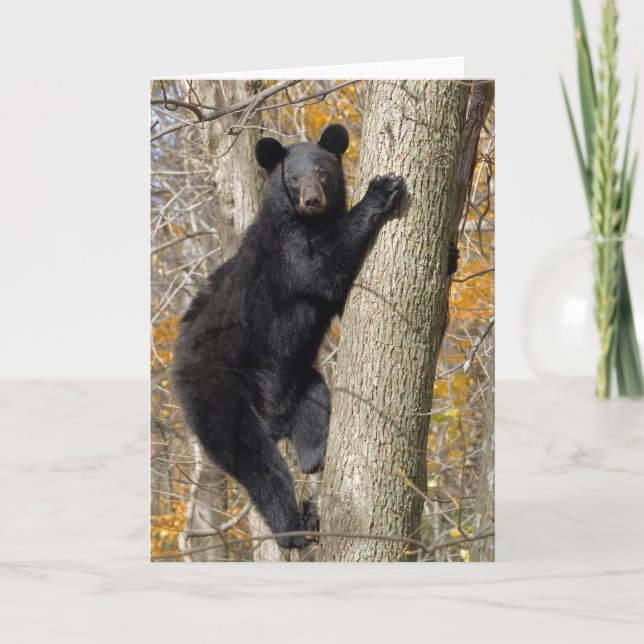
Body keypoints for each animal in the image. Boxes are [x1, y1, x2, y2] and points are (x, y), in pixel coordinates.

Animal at [173, 123, 408, 549]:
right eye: (294, 178)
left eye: (323, 172)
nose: (312, 201)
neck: (308, 222)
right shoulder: (287, 251)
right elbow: (325, 267)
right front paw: (380, 189)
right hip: (217, 393)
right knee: (257, 464)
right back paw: (294, 528)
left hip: (300, 375)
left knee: (315, 414)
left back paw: (319, 457)